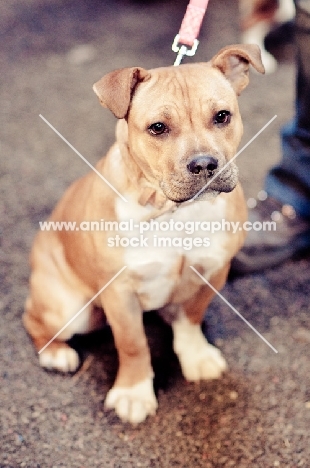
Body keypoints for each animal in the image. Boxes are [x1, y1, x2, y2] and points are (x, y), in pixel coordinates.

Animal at [24, 44, 264, 424]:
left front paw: (195, 355)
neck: (174, 210)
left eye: (222, 116)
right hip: (68, 307)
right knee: (32, 319)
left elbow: (192, 317)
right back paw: (56, 354)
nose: (204, 164)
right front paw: (134, 392)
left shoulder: (212, 271)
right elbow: (132, 343)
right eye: (158, 128)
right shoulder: (120, 292)